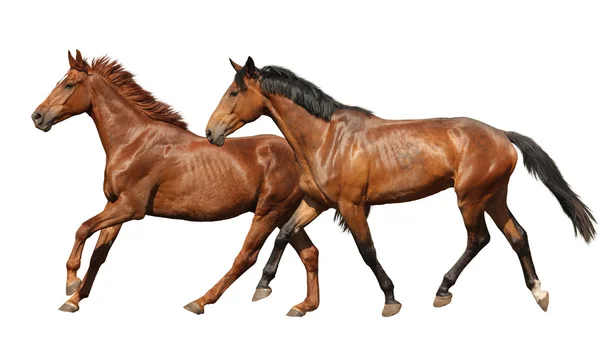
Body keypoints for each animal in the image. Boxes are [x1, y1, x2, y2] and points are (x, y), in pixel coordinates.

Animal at [30, 50, 322, 316]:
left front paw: (71, 283)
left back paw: (200, 302)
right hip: (286, 214)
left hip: (268, 212)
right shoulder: (114, 204)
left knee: (246, 257)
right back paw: (304, 306)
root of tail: (304, 157)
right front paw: (74, 300)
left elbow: (82, 229)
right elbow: (98, 254)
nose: (37, 117)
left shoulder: (131, 208)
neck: (134, 140)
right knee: (309, 253)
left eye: (68, 85)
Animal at [205, 57, 596, 318]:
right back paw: (539, 293)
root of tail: (502, 134)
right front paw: (264, 287)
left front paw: (390, 299)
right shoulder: (316, 202)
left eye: (235, 91)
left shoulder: (351, 206)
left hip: (470, 199)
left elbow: (367, 251)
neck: (327, 139)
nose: (211, 133)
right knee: (518, 236)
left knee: (479, 239)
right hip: (493, 196)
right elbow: (284, 233)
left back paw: (443, 290)